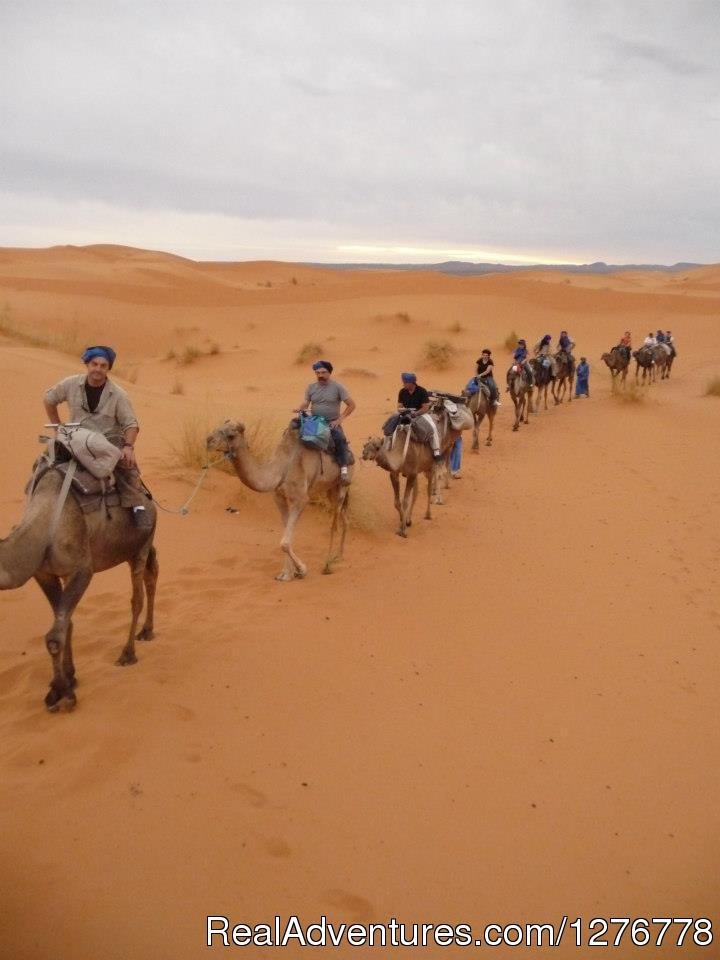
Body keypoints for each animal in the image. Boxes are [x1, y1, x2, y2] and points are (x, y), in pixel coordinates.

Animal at [0, 468, 158, 708]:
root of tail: (148, 497)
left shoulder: (82, 570)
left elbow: (54, 636)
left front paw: (61, 693)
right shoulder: (45, 573)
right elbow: (65, 622)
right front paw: (69, 677)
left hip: (142, 543)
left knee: (138, 596)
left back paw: (128, 654)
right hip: (131, 550)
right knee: (151, 574)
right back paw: (147, 631)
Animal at [207, 418, 350, 580]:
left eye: (231, 435)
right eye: (217, 428)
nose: (208, 441)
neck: (281, 469)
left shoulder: (300, 499)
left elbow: (285, 542)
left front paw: (301, 570)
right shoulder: (279, 497)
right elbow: (286, 533)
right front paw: (286, 574)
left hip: (341, 486)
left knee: (335, 524)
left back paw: (327, 565)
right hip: (330, 489)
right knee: (344, 519)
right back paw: (339, 556)